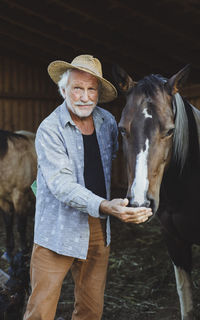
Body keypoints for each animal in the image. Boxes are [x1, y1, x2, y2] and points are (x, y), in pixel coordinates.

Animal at [0, 130, 36, 260]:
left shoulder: (20, 196)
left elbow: (20, 225)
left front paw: (22, 252)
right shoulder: (3, 199)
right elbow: (8, 223)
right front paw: (8, 251)